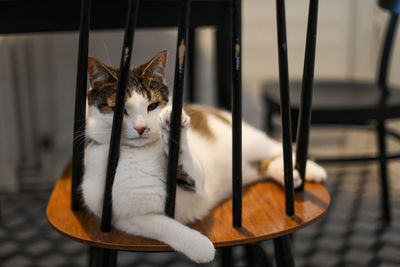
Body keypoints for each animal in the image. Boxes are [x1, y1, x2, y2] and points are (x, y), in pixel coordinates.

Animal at [80, 50, 324, 264]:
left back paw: (312, 170)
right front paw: (200, 247)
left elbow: (189, 166)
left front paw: (174, 132)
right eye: (119, 110)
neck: (139, 152)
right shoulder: (122, 217)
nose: (141, 128)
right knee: (264, 164)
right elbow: (163, 226)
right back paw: (288, 175)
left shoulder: (197, 181)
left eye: (152, 106)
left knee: (277, 146)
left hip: (248, 141)